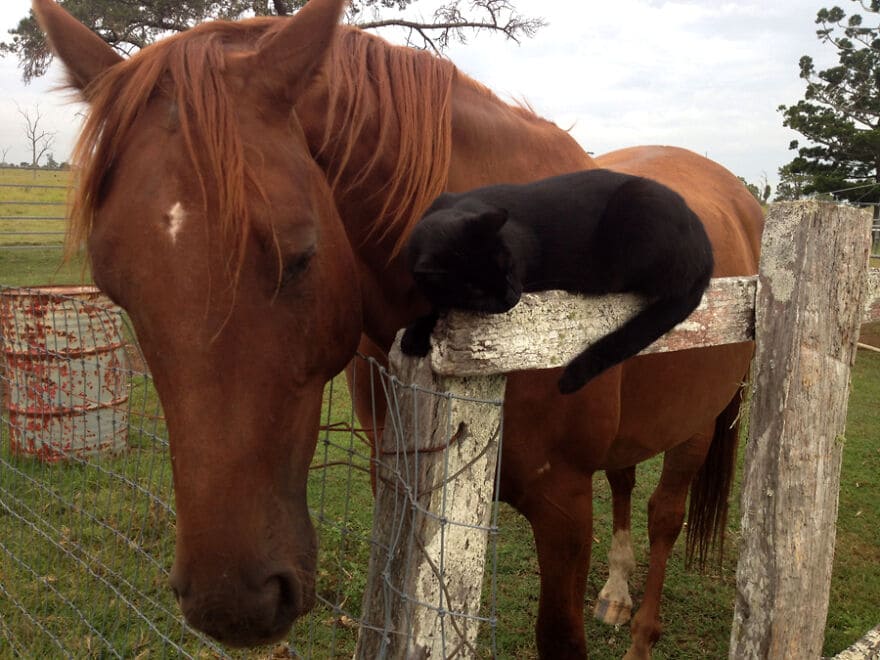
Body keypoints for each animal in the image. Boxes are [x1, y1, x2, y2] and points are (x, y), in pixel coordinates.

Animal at [402, 168, 712, 394]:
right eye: (475, 289)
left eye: (507, 265)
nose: (510, 296)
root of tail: (707, 252)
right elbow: (438, 305)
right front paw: (418, 329)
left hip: (642, 202)